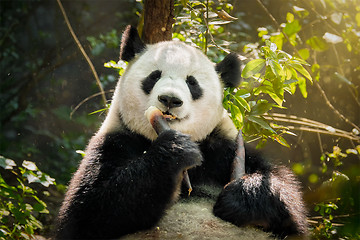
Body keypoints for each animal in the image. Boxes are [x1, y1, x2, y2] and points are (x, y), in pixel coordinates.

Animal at [54, 25, 308, 239]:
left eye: (192, 83)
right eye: (154, 75)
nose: (170, 99)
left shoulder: (223, 147)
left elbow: (286, 200)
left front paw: (241, 196)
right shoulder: (116, 140)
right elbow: (87, 212)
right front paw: (175, 150)